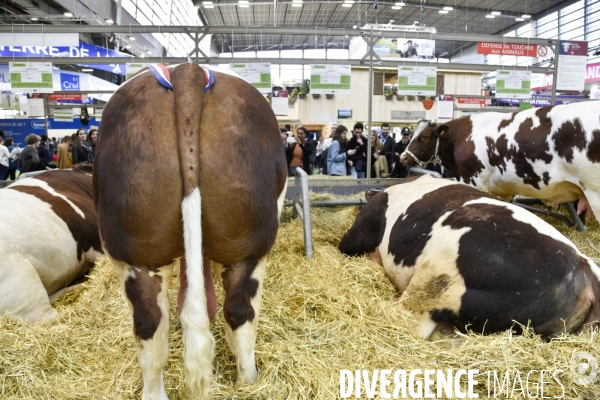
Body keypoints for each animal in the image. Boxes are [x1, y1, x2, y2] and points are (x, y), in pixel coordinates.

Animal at [94, 63, 288, 400]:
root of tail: (189, 71)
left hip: (139, 251)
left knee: (150, 323)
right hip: (250, 246)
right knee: (240, 312)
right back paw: (249, 381)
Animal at [400, 100, 600, 219]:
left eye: (425, 137)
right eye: (412, 134)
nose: (403, 157)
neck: (462, 137)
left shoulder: (472, 179)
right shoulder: (506, 190)